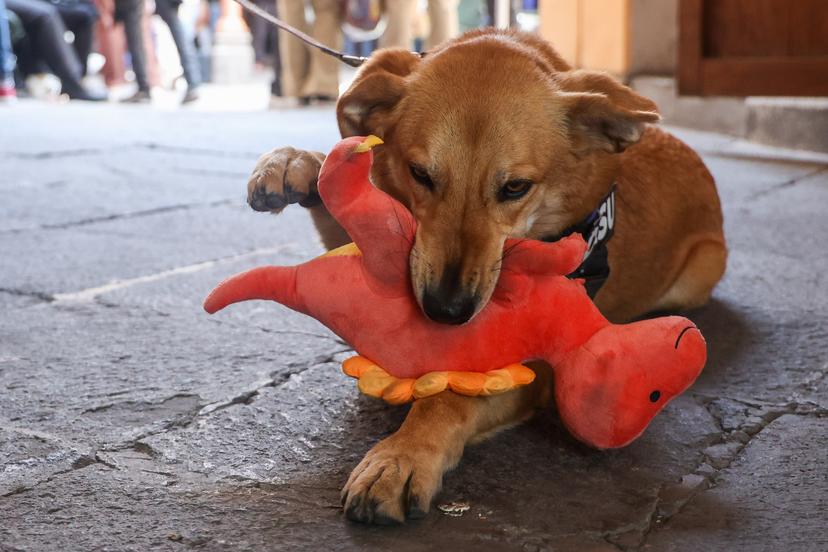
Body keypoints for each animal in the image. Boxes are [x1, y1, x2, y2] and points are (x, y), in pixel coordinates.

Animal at [244, 30, 724, 528]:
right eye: (420, 174)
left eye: (515, 187)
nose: (445, 311)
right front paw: (292, 164)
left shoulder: (533, 370)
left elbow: (450, 399)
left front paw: (401, 456)